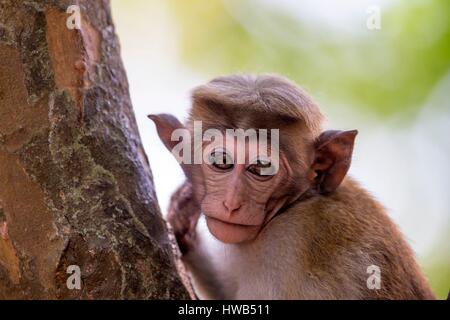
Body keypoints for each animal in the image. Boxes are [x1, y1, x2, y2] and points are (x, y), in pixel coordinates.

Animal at [149, 74, 436, 298]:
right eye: (222, 161)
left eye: (261, 168)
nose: (231, 204)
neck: (299, 202)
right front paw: (182, 225)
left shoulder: (291, 244)